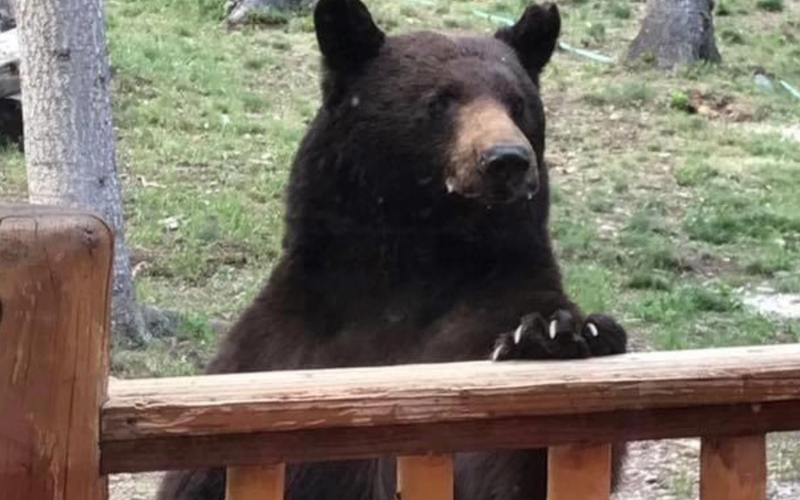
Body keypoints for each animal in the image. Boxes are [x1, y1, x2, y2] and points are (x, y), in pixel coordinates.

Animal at [156, 0, 629, 499]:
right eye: (440, 100)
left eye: (518, 104)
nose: (507, 159)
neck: (412, 258)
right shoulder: (281, 348)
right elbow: (208, 473)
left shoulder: (487, 306)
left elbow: (509, 465)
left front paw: (556, 333)